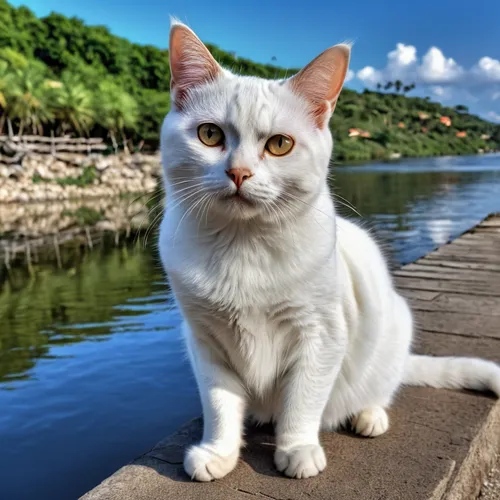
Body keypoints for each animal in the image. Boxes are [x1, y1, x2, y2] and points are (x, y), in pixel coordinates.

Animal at [159, 21, 500, 482]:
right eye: (209, 135)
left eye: (280, 145)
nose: (239, 172)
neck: (244, 246)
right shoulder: (206, 341)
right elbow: (219, 403)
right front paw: (218, 452)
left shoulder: (321, 335)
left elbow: (303, 400)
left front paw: (297, 449)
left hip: (394, 328)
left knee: (381, 387)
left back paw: (368, 415)